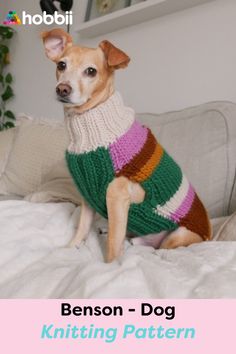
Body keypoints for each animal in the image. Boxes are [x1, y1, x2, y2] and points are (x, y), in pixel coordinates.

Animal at [41, 28, 212, 262]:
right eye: (61, 65)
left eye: (91, 71)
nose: (63, 89)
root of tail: (209, 235)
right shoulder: (87, 196)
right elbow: (82, 228)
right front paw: (70, 248)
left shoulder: (116, 197)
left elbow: (113, 244)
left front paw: (110, 266)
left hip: (177, 235)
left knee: (160, 248)